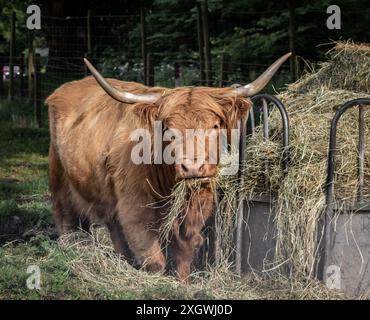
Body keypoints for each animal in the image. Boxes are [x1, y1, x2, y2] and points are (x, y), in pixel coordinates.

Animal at [45, 53, 290, 280]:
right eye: (169, 130)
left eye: (214, 126)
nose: (192, 167)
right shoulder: (135, 210)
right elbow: (154, 259)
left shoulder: (197, 207)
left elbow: (184, 250)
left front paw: (183, 282)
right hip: (60, 180)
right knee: (66, 217)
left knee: (113, 230)